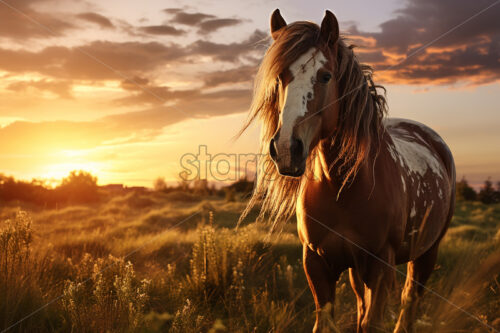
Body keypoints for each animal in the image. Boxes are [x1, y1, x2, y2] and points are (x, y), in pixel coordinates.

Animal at [239, 9, 458, 330]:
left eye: (325, 76)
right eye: (279, 77)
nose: (287, 149)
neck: (341, 186)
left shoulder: (380, 267)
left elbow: (372, 322)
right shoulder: (316, 264)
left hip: (427, 253)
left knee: (409, 301)